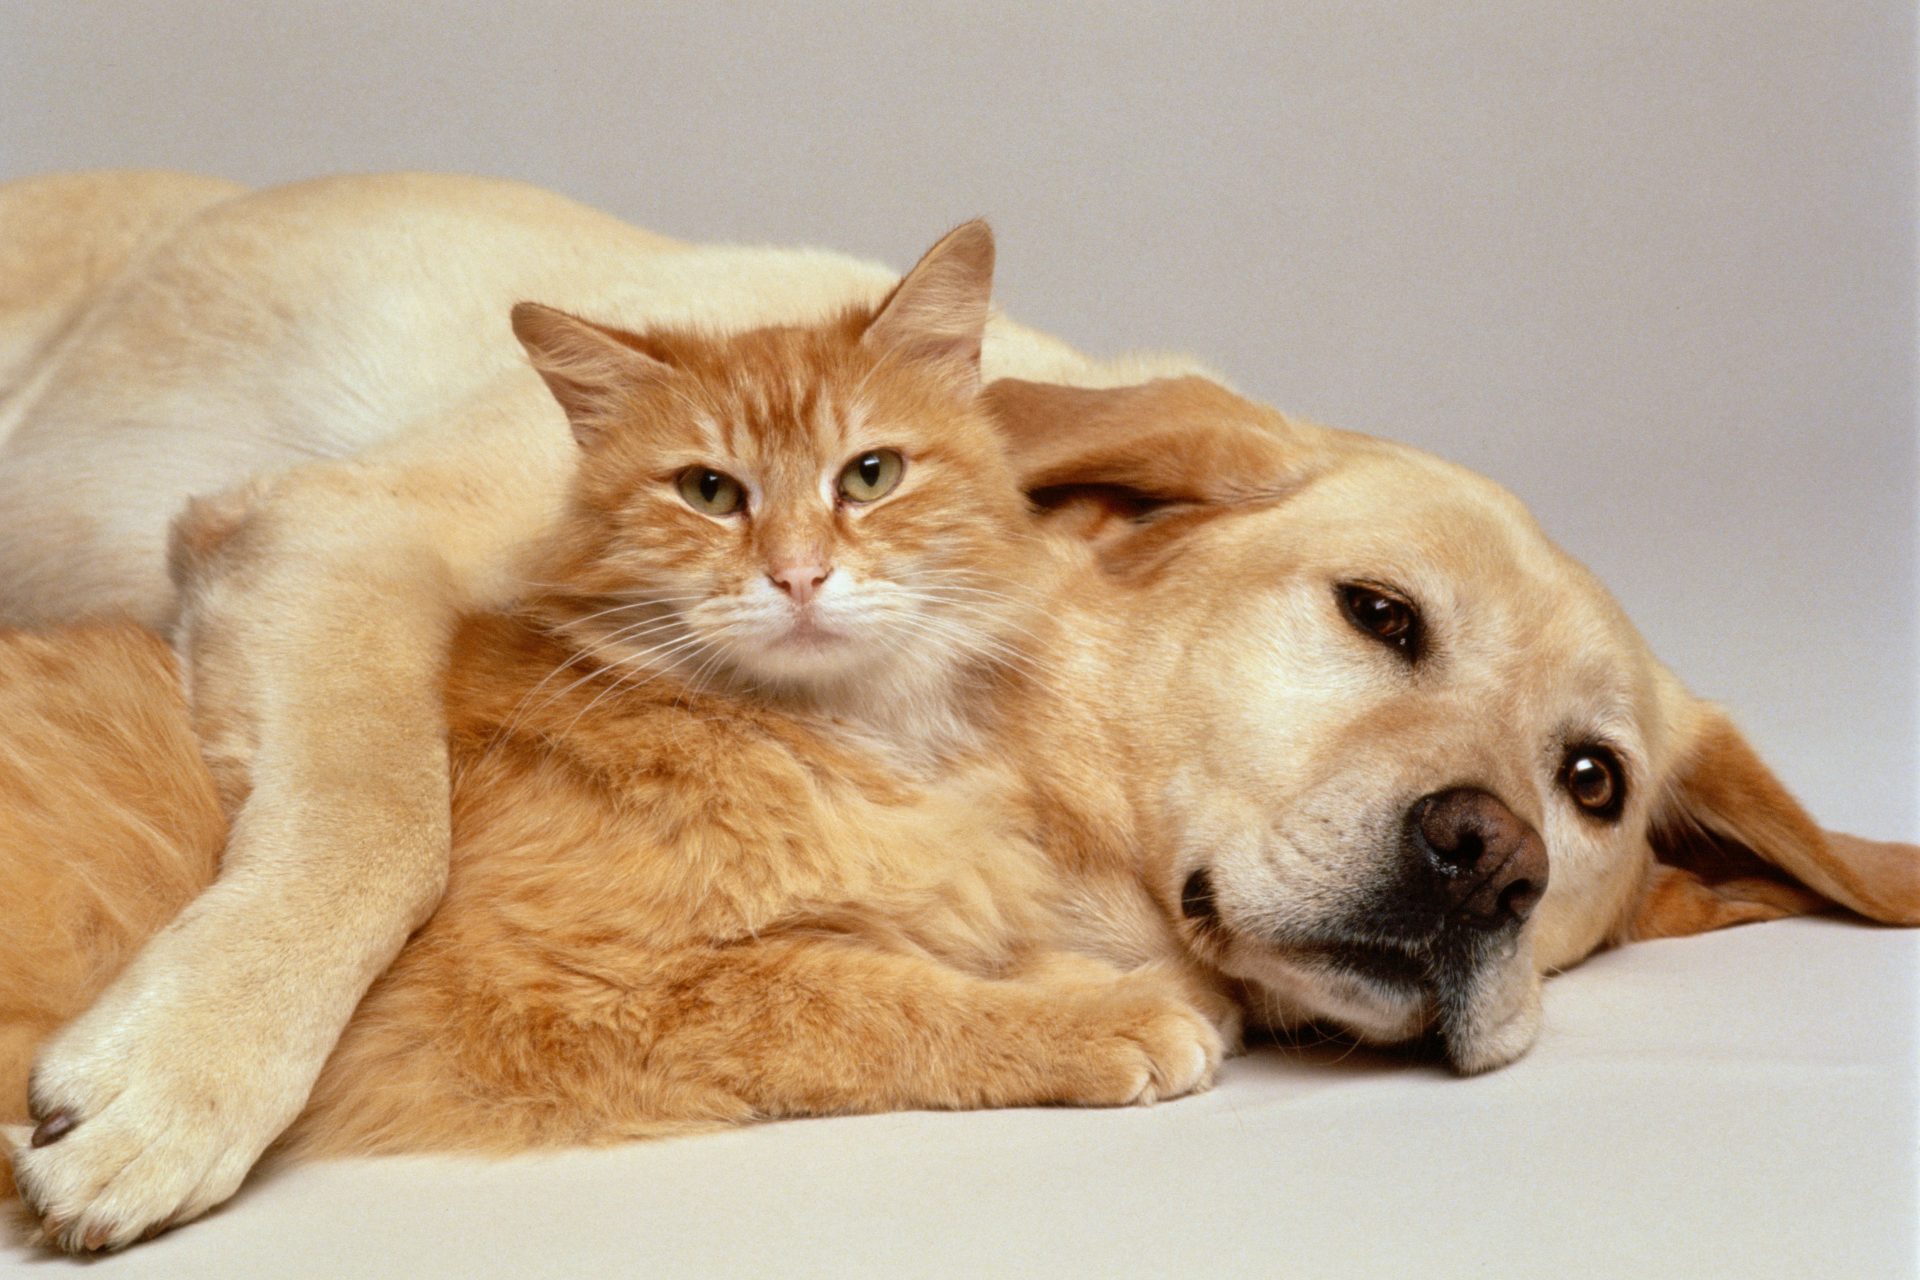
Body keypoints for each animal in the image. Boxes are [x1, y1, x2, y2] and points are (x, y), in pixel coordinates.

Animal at [3, 169, 1920, 1251]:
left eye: (1592, 783)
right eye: (1379, 615)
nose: (1489, 860)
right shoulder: (330, 533)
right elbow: (379, 820)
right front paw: (184, 1077)